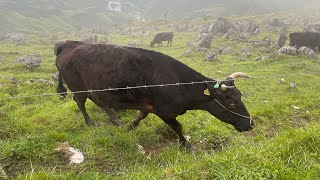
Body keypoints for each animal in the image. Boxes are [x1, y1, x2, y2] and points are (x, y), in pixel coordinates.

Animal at [55, 41, 255, 147]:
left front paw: (130, 127)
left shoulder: (148, 105)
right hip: (77, 87)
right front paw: (185, 145)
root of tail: (69, 43)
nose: (251, 124)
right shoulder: (164, 111)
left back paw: (115, 120)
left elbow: (141, 116)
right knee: (81, 102)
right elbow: (178, 127)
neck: (177, 82)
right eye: (232, 104)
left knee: (97, 101)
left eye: (241, 98)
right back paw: (93, 122)